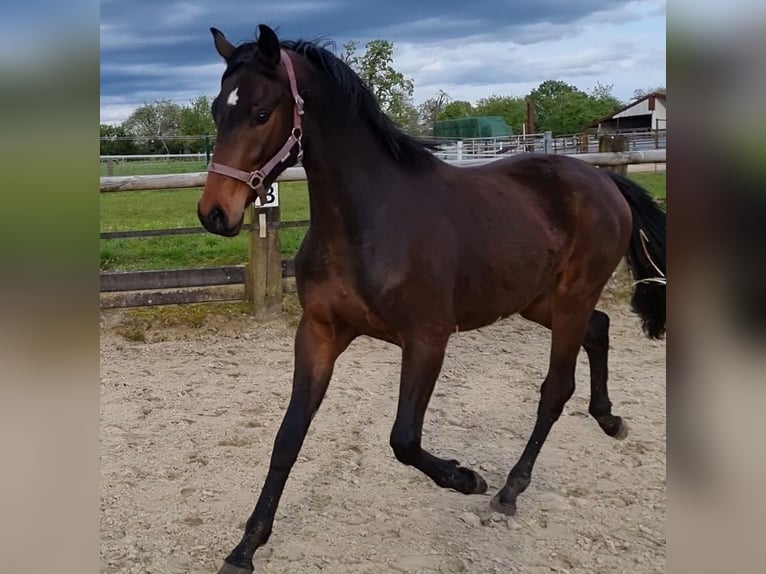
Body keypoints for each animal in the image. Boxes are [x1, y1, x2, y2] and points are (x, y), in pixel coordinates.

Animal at [197, 24, 666, 574]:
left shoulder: (427, 339)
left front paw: (466, 478)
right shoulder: (320, 332)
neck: (370, 222)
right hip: (537, 300)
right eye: (217, 110)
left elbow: (403, 439)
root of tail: (603, 178)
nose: (214, 213)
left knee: (555, 389)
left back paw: (509, 489)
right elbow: (288, 436)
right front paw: (245, 548)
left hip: (570, 298)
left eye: (261, 112)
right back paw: (610, 419)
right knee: (601, 328)